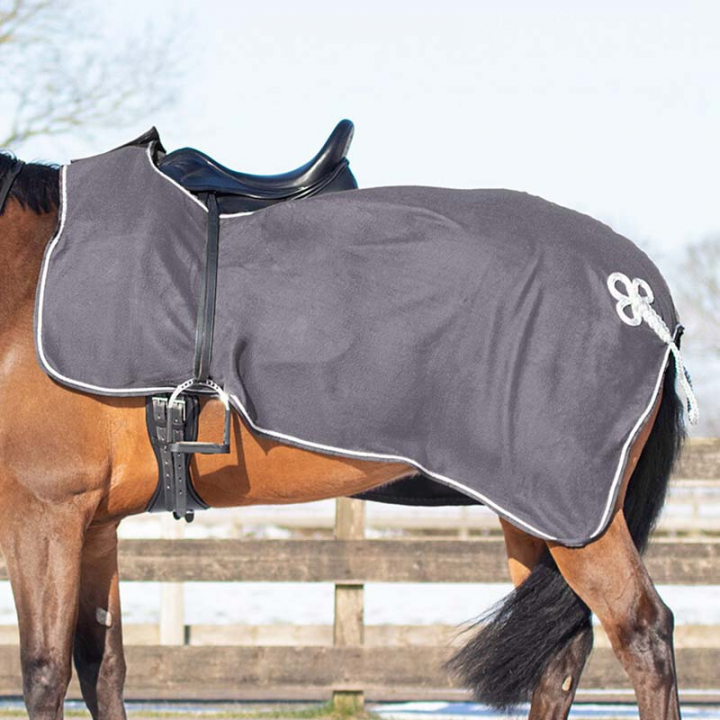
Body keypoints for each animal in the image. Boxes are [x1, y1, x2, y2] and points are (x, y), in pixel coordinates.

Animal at [0, 150, 687, 720]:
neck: (26, 278)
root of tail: (644, 297)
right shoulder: (94, 525)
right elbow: (102, 667)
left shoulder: (45, 512)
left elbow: (43, 671)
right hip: (530, 513)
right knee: (563, 653)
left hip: (580, 515)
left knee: (644, 634)